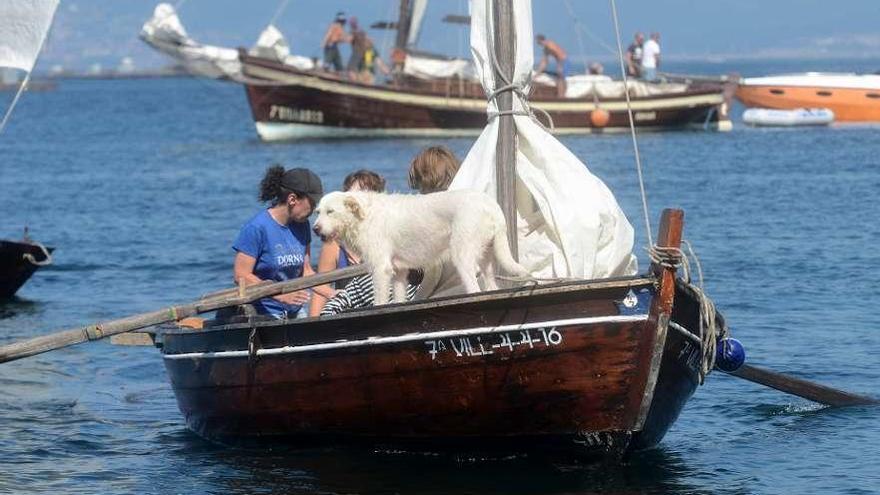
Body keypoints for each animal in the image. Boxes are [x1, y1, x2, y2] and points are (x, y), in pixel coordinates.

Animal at [314, 191, 528, 304]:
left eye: (330, 211)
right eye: (318, 212)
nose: (315, 229)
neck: (365, 216)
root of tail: (490, 204)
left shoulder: (381, 269)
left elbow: (379, 300)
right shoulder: (399, 272)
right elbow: (399, 298)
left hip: (462, 258)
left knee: (475, 290)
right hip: (487, 258)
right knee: (491, 286)